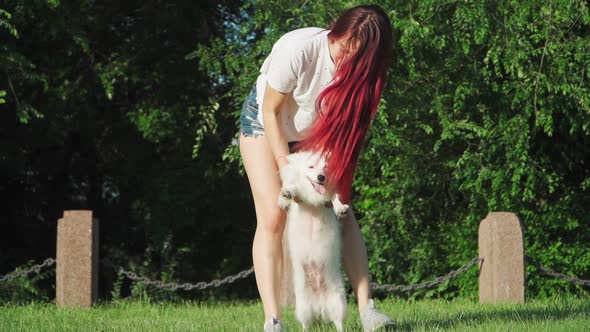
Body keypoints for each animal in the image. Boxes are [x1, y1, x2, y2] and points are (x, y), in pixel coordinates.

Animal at [278, 151, 350, 332]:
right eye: (311, 166)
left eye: (325, 168)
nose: (321, 177)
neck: (314, 197)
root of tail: (319, 307)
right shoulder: (300, 192)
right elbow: (295, 189)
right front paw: (288, 192)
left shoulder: (329, 193)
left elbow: (334, 197)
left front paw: (340, 208)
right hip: (303, 307)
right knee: (306, 324)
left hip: (338, 302)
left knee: (338, 323)